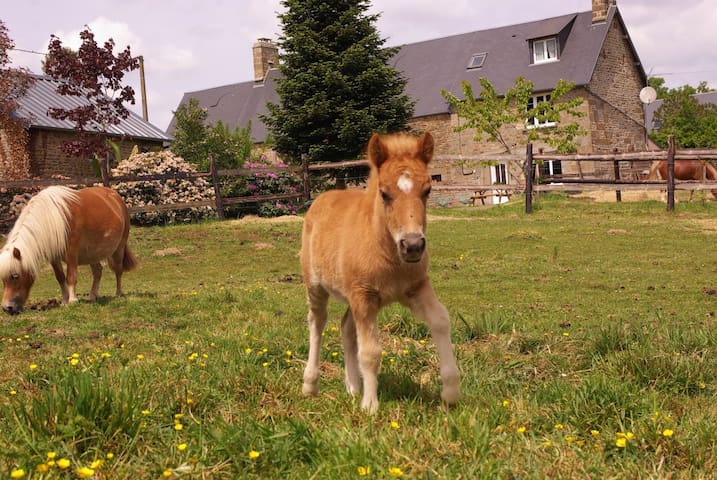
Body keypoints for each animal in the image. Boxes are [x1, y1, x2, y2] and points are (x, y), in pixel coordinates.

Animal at [0, 185, 136, 316]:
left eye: (15, 276)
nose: (7, 308)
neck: (53, 218)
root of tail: (116, 198)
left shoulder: (72, 253)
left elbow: (71, 276)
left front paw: (72, 300)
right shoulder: (54, 257)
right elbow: (60, 277)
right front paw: (64, 300)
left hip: (119, 249)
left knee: (118, 270)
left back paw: (118, 293)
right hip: (92, 254)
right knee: (98, 271)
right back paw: (93, 295)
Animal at [298, 131, 458, 412]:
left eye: (427, 190)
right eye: (384, 193)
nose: (412, 245)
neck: (390, 256)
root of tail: (320, 198)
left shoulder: (415, 288)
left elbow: (440, 320)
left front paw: (450, 392)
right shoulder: (364, 297)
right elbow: (371, 352)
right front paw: (370, 406)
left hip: (352, 294)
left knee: (346, 328)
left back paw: (353, 387)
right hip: (316, 286)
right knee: (317, 323)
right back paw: (311, 385)